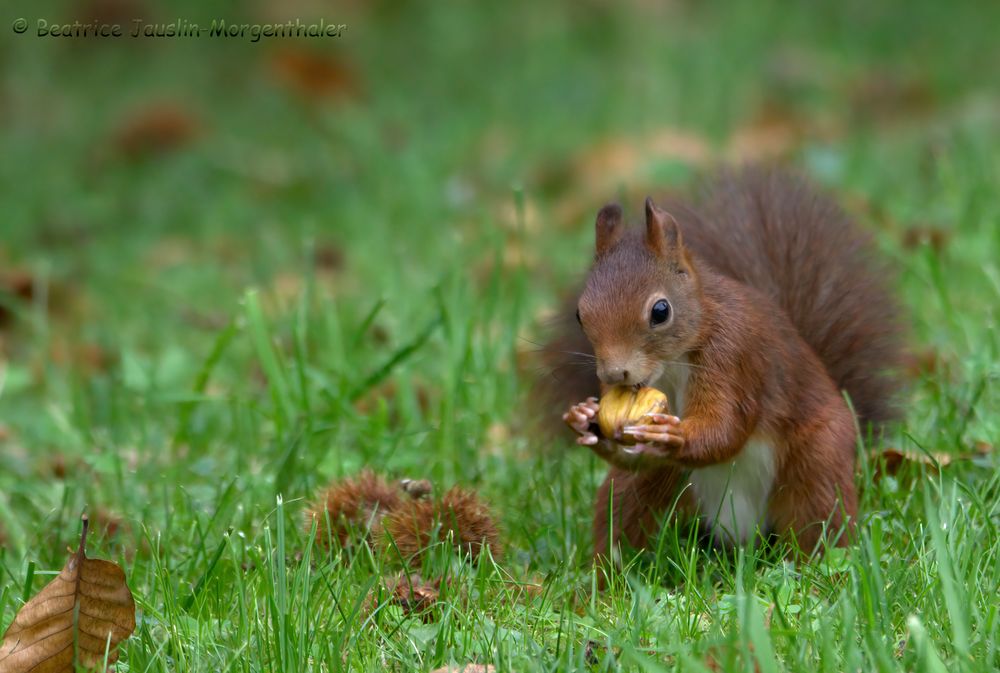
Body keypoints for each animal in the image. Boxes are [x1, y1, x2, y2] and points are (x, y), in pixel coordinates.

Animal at [552, 165, 904, 552]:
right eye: (580, 314)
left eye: (661, 311)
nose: (615, 374)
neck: (673, 362)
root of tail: (743, 535)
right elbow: (635, 457)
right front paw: (583, 419)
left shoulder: (733, 355)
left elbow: (725, 428)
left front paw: (674, 437)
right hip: (649, 487)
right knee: (623, 512)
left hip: (817, 462)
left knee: (820, 520)